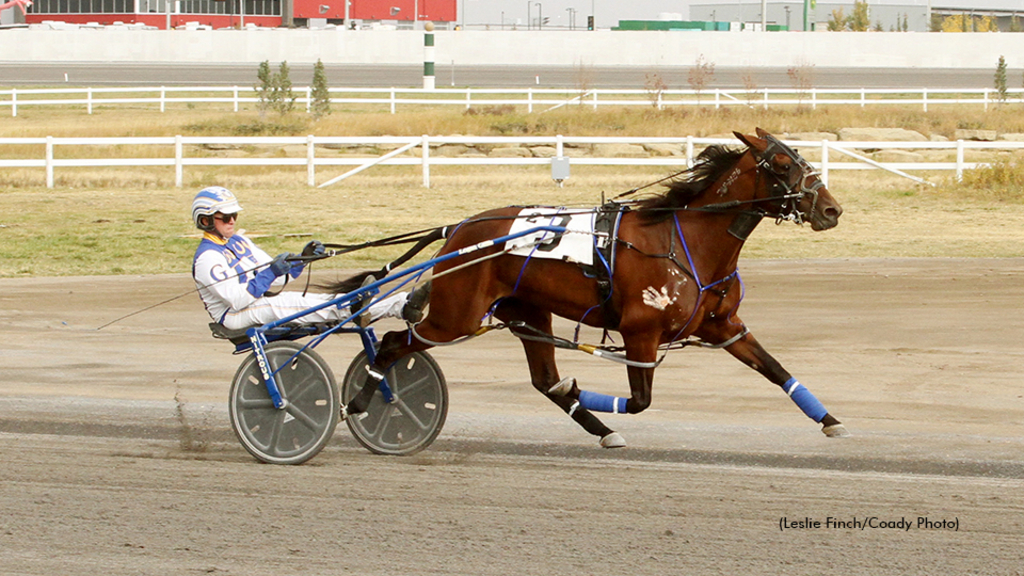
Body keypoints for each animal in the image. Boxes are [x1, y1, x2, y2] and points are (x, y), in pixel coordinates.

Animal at [333, 127, 847, 446]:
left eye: (800, 156)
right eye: (780, 163)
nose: (831, 210)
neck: (686, 242)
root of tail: (459, 229)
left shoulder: (724, 325)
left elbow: (776, 370)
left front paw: (830, 421)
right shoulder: (640, 333)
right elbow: (640, 401)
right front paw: (584, 389)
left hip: (525, 311)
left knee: (544, 380)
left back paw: (600, 428)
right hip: (453, 315)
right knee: (394, 342)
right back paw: (359, 401)